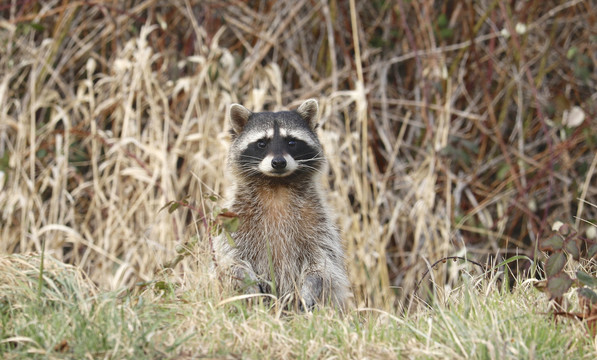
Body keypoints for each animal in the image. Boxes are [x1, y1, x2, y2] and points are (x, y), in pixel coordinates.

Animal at [213, 98, 350, 310]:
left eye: (291, 142)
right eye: (261, 143)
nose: (278, 162)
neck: (277, 186)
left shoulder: (317, 220)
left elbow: (323, 261)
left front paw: (311, 286)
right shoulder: (237, 216)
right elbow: (231, 258)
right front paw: (246, 281)